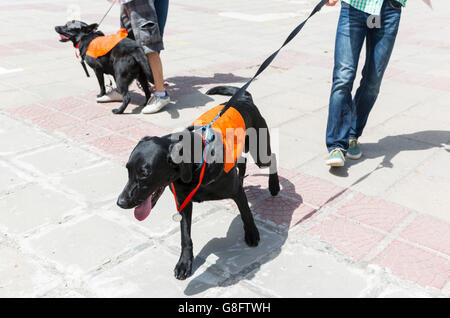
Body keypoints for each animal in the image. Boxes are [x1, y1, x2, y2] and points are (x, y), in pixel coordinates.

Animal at [116, 85, 280, 280]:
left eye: (144, 174)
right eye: (127, 170)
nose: (120, 202)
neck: (196, 168)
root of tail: (243, 98)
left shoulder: (236, 192)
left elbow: (246, 213)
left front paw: (252, 234)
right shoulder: (183, 201)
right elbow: (185, 236)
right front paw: (184, 263)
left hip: (260, 150)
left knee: (272, 157)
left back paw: (274, 185)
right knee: (242, 162)